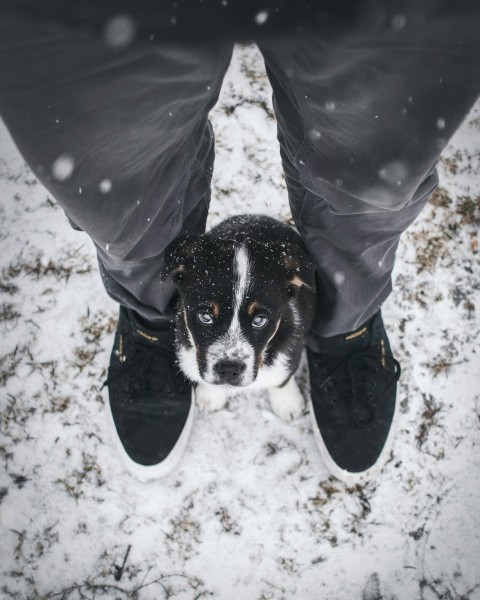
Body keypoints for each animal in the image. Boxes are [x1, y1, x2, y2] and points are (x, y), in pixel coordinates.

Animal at [163, 216, 316, 422]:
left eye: (259, 320)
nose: (229, 369)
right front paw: (210, 397)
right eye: (205, 316)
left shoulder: (292, 344)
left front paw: (288, 403)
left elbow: (282, 378)